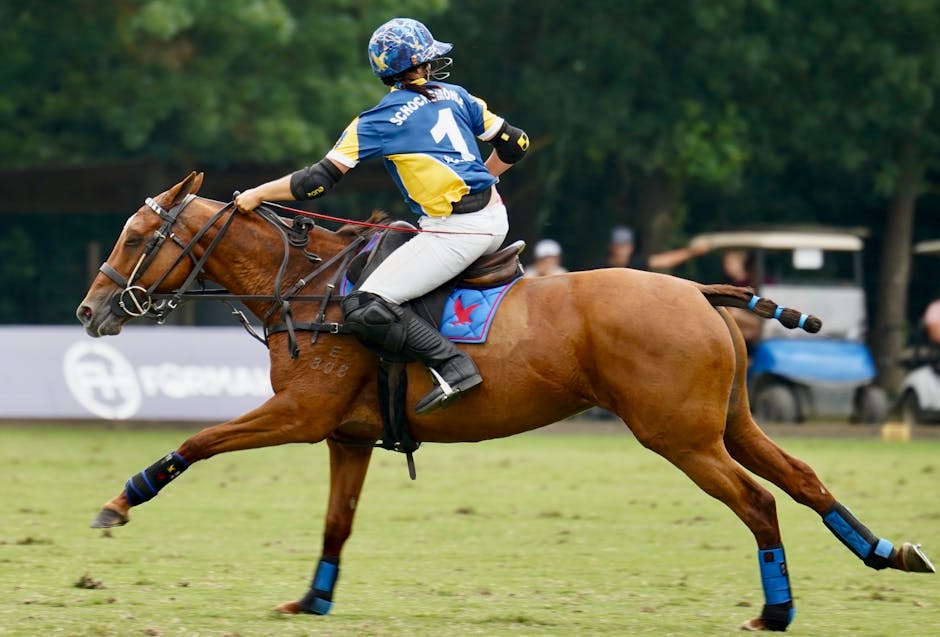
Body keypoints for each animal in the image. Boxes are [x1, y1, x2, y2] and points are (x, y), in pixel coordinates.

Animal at [77, 172, 934, 631]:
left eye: (135, 237)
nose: (91, 310)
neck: (309, 288)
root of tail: (697, 286)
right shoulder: (346, 435)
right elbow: (337, 521)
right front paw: (312, 598)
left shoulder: (302, 415)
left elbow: (199, 441)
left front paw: (121, 499)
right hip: (728, 421)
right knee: (804, 478)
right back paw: (889, 551)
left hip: (680, 436)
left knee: (759, 501)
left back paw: (777, 609)